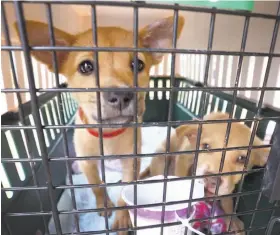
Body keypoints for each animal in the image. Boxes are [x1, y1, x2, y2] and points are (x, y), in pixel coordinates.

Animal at [14, 16, 185, 233]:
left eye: (138, 64)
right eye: (86, 67)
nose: (121, 95)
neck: (108, 134)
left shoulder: (131, 162)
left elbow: (125, 190)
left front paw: (122, 218)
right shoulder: (87, 162)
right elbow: (95, 185)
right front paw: (103, 204)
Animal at [141, 111, 270, 233]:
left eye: (242, 158)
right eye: (206, 146)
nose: (211, 180)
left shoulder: (228, 189)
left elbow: (227, 200)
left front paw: (232, 220)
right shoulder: (183, 157)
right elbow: (181, 175)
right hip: (162, 157)